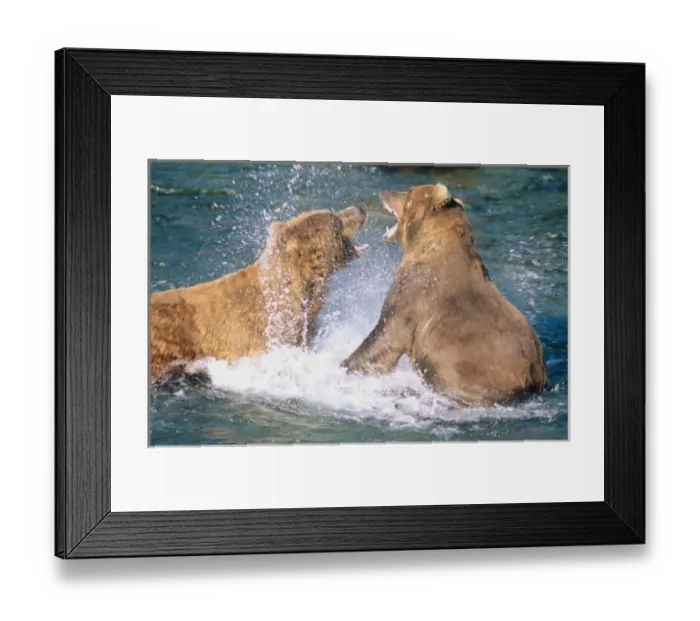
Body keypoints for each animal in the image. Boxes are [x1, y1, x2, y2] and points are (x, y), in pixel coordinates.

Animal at [341, 184, 547, 406]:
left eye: (408, 193)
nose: (384, 192)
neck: (425, 243)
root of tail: (534, 376)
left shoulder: (416, 292)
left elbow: (387, 334)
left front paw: (345, 364)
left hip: (475, 373)